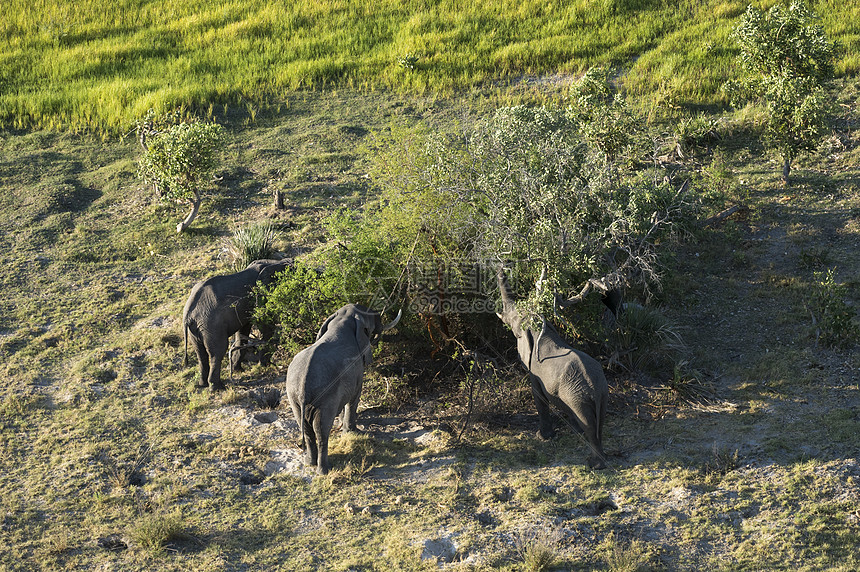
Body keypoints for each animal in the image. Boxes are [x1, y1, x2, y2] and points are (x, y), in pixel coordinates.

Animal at [182, 258, 292, 388]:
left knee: (201, 353)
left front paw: (238, 370)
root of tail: (188, 313)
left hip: (195, 329)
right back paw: (218, 387)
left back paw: (203, 384)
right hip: (211, 325)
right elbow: (266, 325)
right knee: (218, 351)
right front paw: (265, 365)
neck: (275, 263)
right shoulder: (260, 296)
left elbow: (243, 332)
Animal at [284, 304, 402, 474]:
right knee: (321, 430)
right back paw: (324, 470)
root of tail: (303, 388)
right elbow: (354, 397)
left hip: (294, 398)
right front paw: (353, 432)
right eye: (370, 323)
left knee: (305, 428)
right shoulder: (357, 369)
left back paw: (309, 463)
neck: (341, 320)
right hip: (324, 398)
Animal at [494, 272, 608, 470]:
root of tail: (595, 386)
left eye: (514, 319)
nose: (503, 269)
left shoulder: (534, 371)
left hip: (578, 397)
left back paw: (594, 465)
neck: (539, 327)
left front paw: (542, 437)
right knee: (597, 421)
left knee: (589, 424)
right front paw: (573, 431)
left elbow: (538, 396)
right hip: (597, 393)